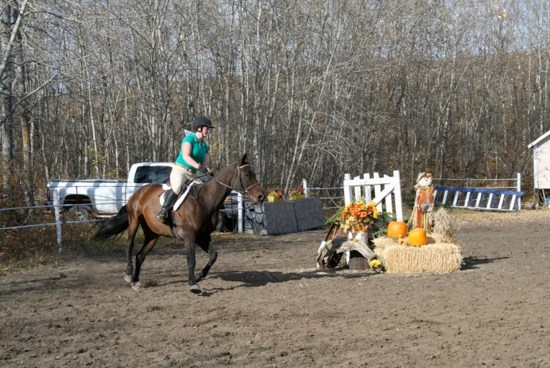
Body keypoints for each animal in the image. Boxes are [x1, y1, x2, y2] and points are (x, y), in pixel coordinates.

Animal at [92, 154, 266, 294]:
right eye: (247, 174)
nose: (261, 197)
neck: (205, 201)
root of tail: (139, 192)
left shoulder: (202, 236)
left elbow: (213, 255)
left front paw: (198, 276)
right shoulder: (189, 236)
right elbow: (191, 259)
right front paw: (193, 284)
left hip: (152, 234)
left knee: (141, 255)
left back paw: (136, 281)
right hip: (134, 220)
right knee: (129, 245)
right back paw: (129, 275)